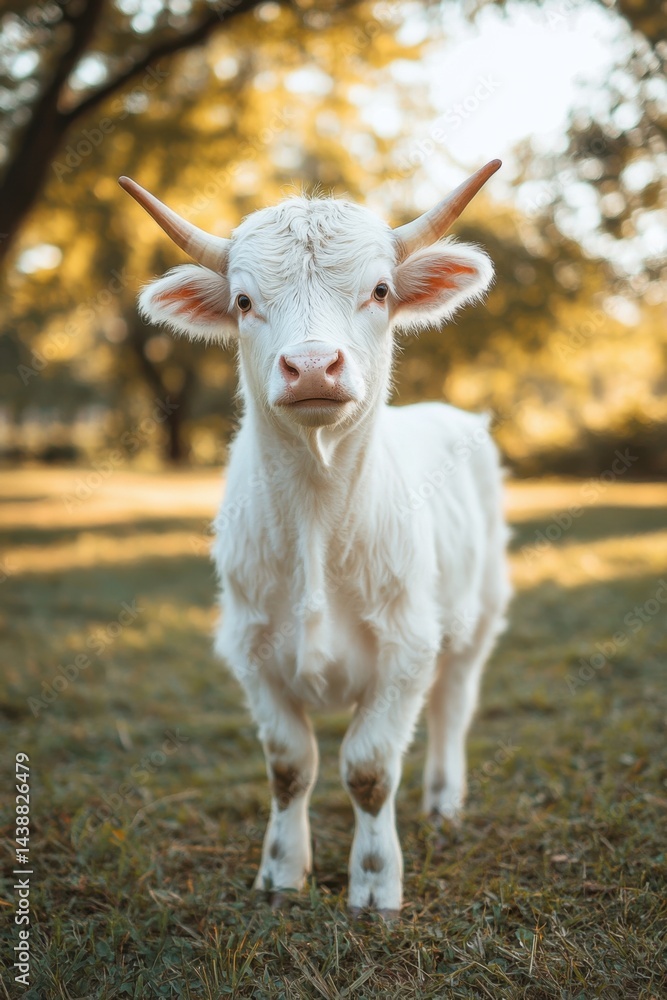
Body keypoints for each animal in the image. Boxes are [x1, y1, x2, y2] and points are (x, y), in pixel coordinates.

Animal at [120, 159, 511, 917]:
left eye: (380, 290)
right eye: (244, 300)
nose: (309, 367)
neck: (315, 519)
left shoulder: (405, 649)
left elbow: (368, 769)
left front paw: (375, 882)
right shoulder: (251, 650)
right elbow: (290, 766)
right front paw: (280, 871)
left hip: (476, 617)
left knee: (453, 705)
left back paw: (443, 801)